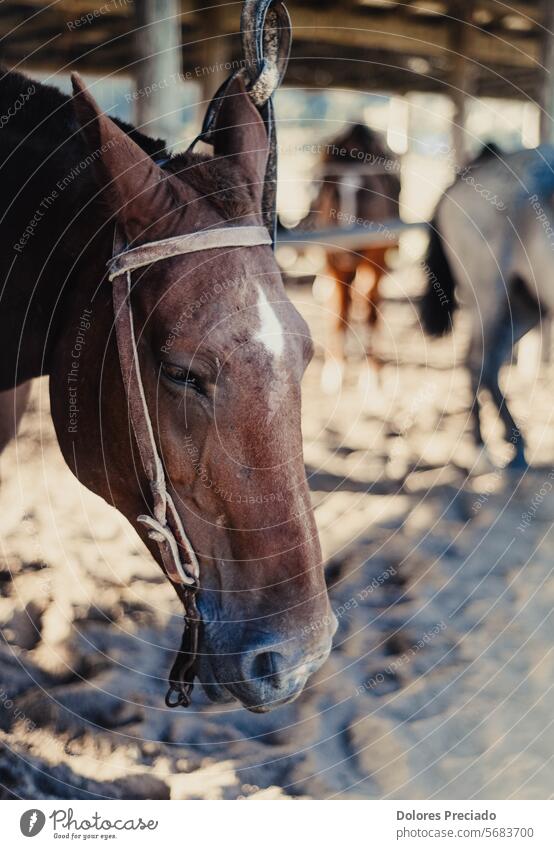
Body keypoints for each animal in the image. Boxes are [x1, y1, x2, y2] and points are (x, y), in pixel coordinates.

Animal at [300, 121, 398, 390]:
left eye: (368, 192)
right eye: (331, 192)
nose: (345, 250)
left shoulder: (375, 259)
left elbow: (371, 312)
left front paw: (371, 374)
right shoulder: (331, 263)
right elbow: (338, 314)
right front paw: (334, 372)